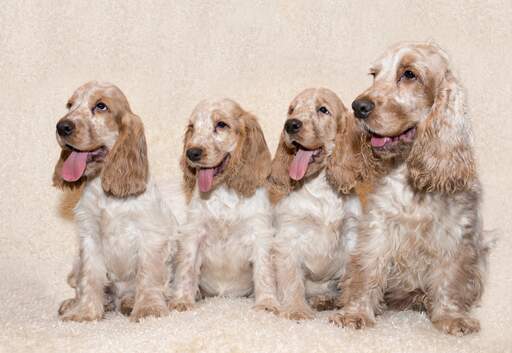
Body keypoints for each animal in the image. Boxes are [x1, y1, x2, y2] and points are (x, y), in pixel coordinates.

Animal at [52, 82, 176, 322]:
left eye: (101, 106)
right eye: (70, 105)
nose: (62, 127)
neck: (106, 193)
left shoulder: (150, 235)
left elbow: (148, 275)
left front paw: (148, 309)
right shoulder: (89, 237)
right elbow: (90, 278)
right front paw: (85, 312)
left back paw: (129, 303)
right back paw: (74, 304)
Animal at [170, 98, 278, 310]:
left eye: (221, 125)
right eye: (192, 128)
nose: (191, 153)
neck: (223, 191)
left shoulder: (260, 233)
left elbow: (264, 271)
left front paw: (267, 303)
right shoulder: (194, 232)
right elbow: (187, 268)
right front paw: (182, 301)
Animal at [268, 88, 368, 320]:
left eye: (323, 110)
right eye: (291, 109)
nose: (290, 125)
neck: (321, 187)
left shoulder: (351, 236)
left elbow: (351, 277)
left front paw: (349, 308)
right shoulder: (288, 238)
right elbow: (292, 279)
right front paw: (296, 309)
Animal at [330, 42, 490, 334]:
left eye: (409, 74)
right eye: (374, 75)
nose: (358, 106)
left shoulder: (453, 234)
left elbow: (450, 277)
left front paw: (451, 317)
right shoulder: (379, 228)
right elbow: (366, 270)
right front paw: (355, 313)